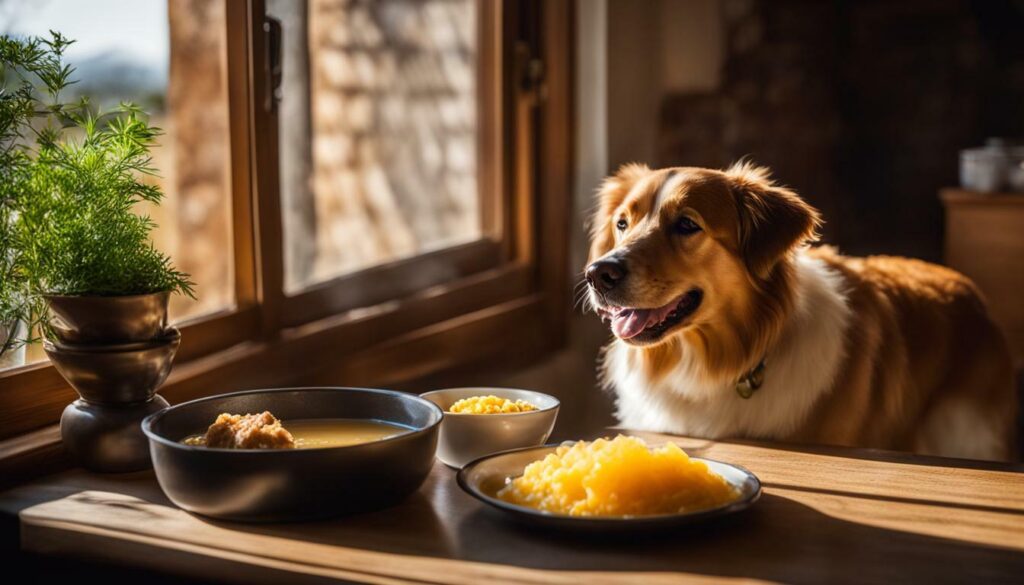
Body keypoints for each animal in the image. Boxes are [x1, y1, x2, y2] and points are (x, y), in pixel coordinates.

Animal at [585, 162, 1015, 461]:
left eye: (688, 224)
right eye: (622, 223)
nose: (598, 273)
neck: (710, 366)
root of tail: (966, 287)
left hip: (961, 431)